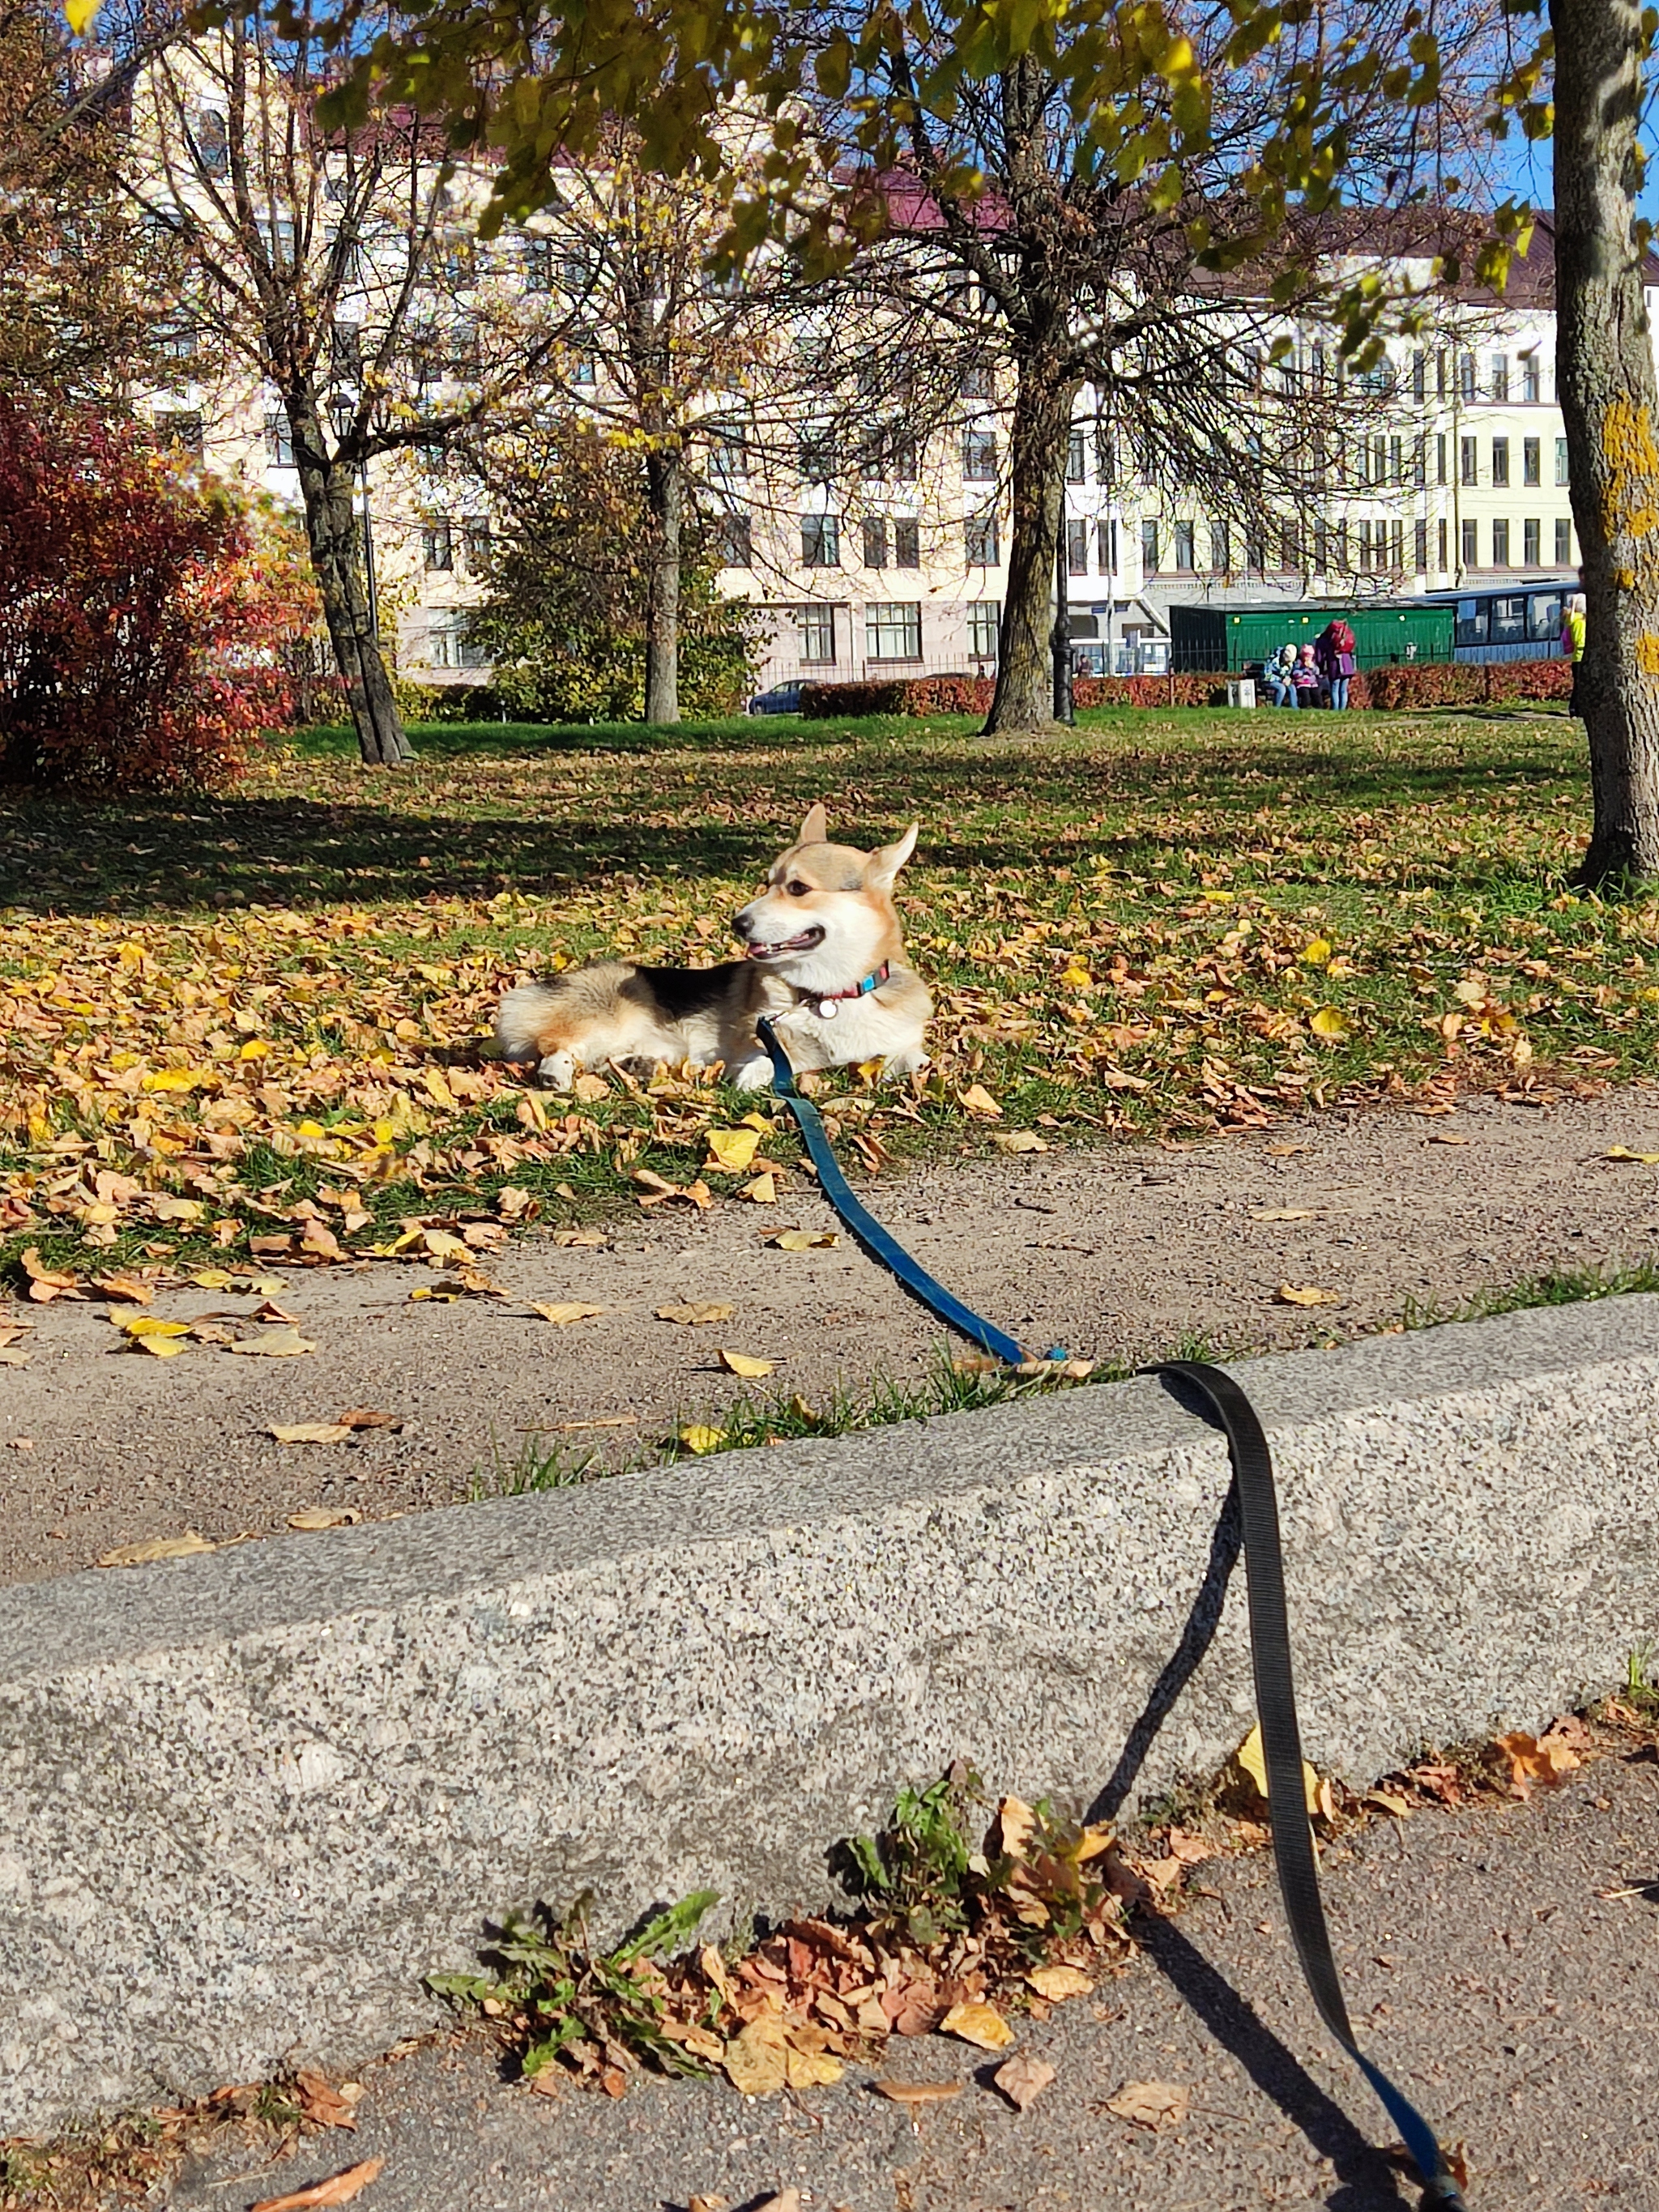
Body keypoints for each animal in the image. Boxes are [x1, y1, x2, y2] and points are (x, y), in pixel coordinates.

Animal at [493, 805, 937, 1097]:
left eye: (798, 888)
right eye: (767, 883)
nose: (737, 924)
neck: (829, 995)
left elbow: (914, 1058)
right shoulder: (766, 1043)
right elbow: (771, 1060)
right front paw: (753, 1077)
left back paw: (638, 1066)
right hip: (611, 1017)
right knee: (559, 1045)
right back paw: (557, 1073)